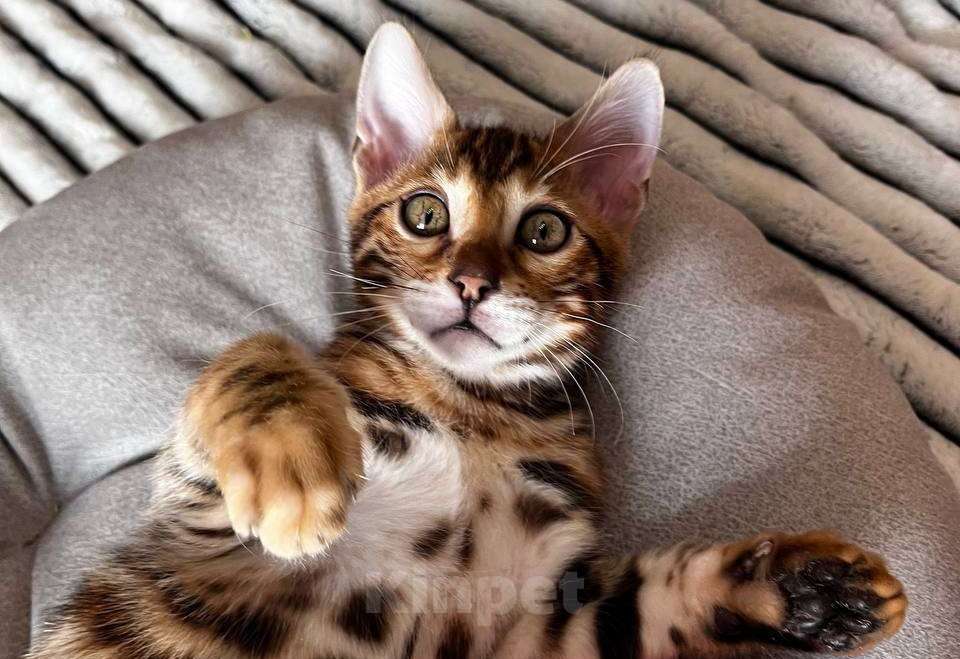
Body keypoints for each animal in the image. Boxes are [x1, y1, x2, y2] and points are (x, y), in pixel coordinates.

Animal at [28, 23, 906, 659]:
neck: (473, 411)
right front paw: (292, 471)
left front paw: (808, 586)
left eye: (545, 230)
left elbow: (645, 605)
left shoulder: (526, 623)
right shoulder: (200, 526)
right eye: (425, 214)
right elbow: (257, 348)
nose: (472, 283)